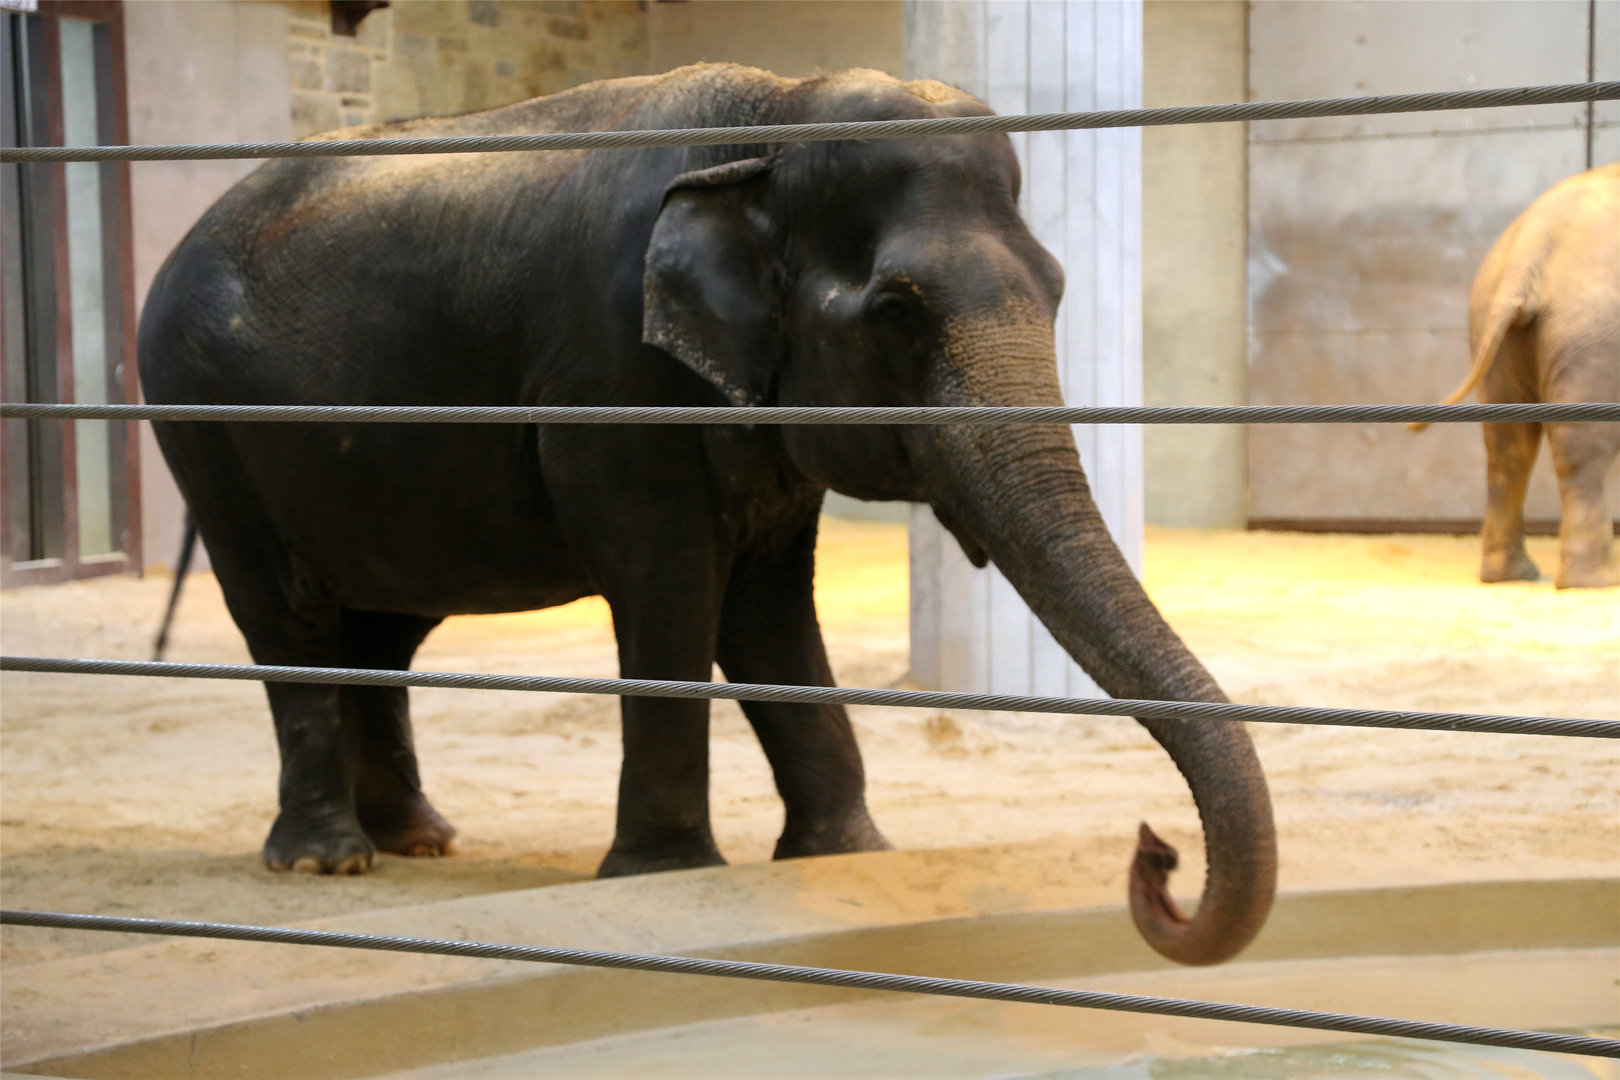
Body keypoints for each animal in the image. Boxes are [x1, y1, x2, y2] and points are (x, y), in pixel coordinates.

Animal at [138, 64, 1276, 966]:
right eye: (896, 311)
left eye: (1057, 288)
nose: (1157, 849)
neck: (771, 119)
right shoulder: (611, 377)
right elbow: (674, 591)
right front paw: (662, 873)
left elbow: (769, 611)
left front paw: (846, 853)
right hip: (204, 423)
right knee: (287, 614)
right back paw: (328, 863)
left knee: (383, 629)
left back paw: (422, 839)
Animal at [1414, 162, 1620, 589]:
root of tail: (1531, 248)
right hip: (1595, 330)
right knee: (1583, 448)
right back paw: (1595, 581)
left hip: (1493, 323)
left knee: (1507, 445)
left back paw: (1507, 575)